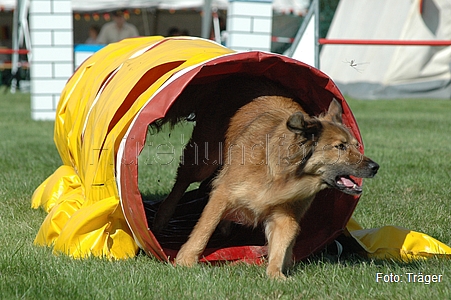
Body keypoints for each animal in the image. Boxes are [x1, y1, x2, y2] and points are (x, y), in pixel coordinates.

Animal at [175, 94, 380, 278]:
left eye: (356, 145)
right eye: (340, 147)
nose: (375, 167)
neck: (282, 175)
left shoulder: (284, 213)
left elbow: (282, 241)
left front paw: (276, 274)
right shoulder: (223, 194)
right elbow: (204, 229)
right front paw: (185, 261)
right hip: (201, 163)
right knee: (179, 187)